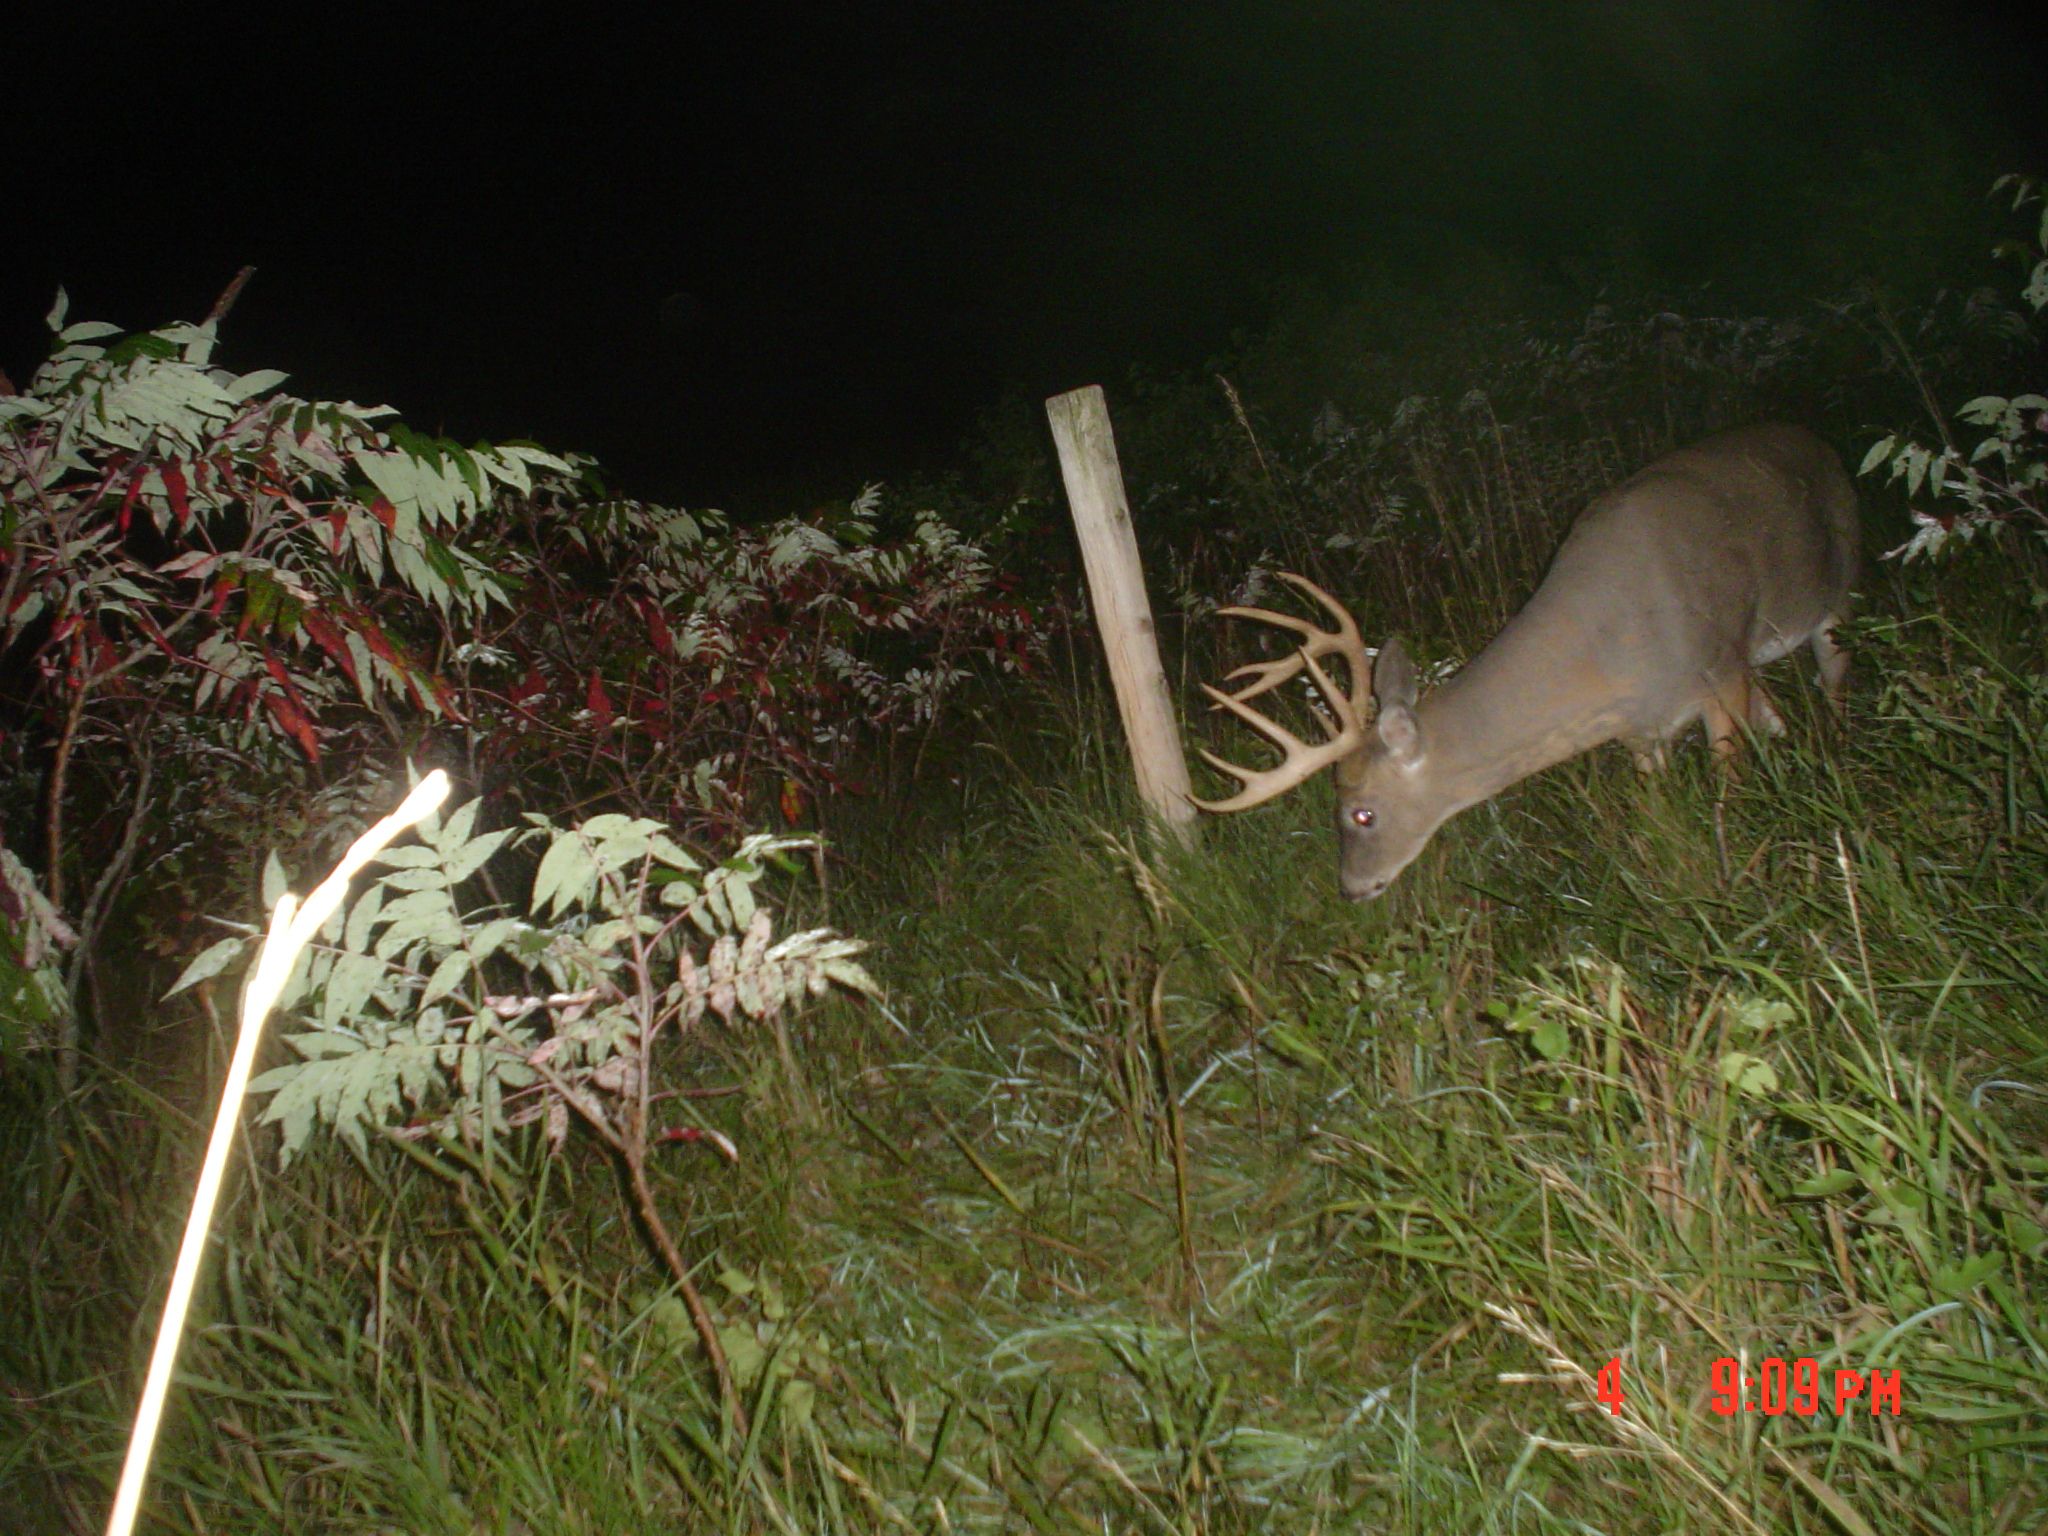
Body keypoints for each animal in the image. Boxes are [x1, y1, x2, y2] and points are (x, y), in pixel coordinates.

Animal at [1196, 423, 1867, 901]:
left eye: (1362, 813)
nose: (1351, 889)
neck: (1611, 654)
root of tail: (1820, 442)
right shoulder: (1640, 729)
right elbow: (1658, 812)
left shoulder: (1719, 664)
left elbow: (1727, 793)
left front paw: (1733, 885)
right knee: (1777, 714)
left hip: (1835, 591)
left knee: (1834, 677)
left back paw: (1838, 760)